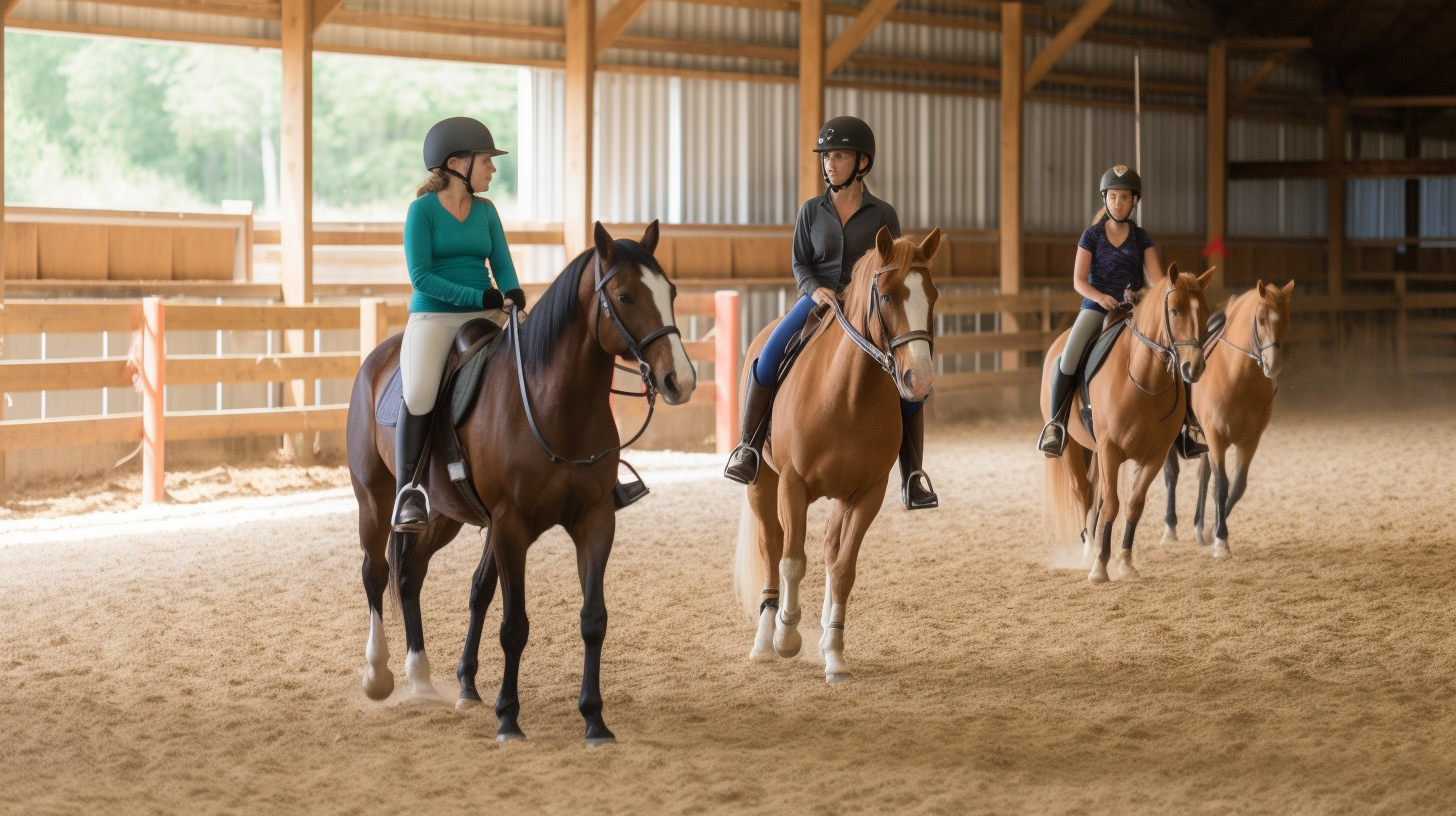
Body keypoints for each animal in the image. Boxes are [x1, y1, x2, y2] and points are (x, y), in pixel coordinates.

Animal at [346, 221, 698, 746]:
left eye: (671, 291)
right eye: (624, 296)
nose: (681, 380)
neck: (555, 405)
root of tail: (376, 360)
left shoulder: (595, 520)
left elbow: (593, 619)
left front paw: (594, 719)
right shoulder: (512, 526)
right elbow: (514, 625)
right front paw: (509, 718)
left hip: (445, 514)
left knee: (412, 574)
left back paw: (427, 678)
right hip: (374, 499)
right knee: (375, 571)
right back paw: (380, 675)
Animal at [733, 225, 937, 684]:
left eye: (932, 295)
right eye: (887, 297)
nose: (919, 381)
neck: (848, 397)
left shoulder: (867, 494)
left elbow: (843, 569)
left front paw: (836, 655)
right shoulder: (792, 485)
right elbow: (792, 560)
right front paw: (787, 637)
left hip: (841, 495)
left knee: (828, 550)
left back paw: (826, 640)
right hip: (762, 483)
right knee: (771, 547)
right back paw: (763, 642)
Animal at [1042, 265, 1211, 582]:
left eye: (1205, 312)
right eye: (1174, 310)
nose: (1193, 367)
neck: (1144, 380)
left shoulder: (1155, 455)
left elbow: (1133, 505)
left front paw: (1125, 563)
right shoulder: (1110, 450)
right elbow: (1111, 505)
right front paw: (1099, 568)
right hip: (1072, 447)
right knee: (1084, 492)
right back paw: (1089, 551)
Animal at [1158, 284, 1298, 556]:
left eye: (1286, 321)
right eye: (1261, 320)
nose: (1273, 365)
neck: (1238, 377)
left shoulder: (1249, 442)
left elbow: (1237, 486)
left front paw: (1214, 530)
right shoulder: (1217, 439)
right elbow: (1221, 485)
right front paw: (1221, 541)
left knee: (1203, 476)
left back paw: (1199, 528)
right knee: (1172, 474)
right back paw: (1170, 529)